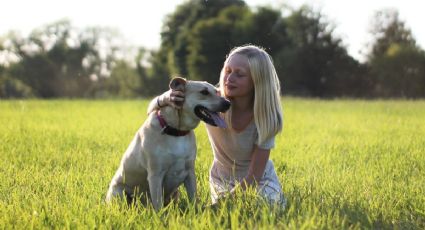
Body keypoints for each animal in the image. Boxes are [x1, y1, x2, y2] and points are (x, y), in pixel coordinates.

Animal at [107, 77, 232, 210]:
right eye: (204, 92)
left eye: (217, 92)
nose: (228, 103)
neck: (177, 131)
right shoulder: (155, 175)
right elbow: (158, 206)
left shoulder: (190, 172)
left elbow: (193, 199)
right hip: (118, 193)